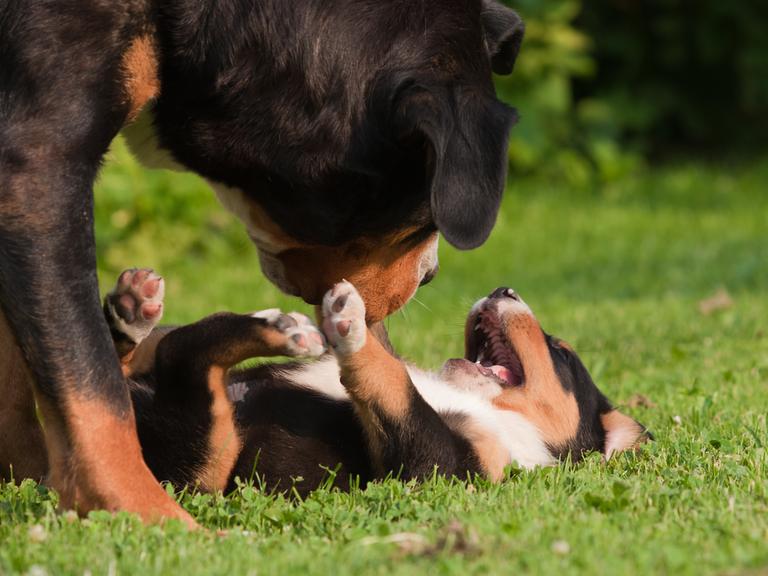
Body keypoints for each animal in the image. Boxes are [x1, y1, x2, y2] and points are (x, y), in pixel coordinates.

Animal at [0, 0, 520, 524]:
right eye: (420, 220)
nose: (431, 275)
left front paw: (29, 478)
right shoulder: (39, 168)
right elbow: (91, 388)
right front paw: (144, 514)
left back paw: (144, 316)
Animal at [105, 270, 652, 496]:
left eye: (561, 353)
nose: (504, 289)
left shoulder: (437, 469)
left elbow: (397, 386)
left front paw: (354, 330)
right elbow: (400, 372)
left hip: (207, 460)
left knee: (186, 361)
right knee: (156, 355)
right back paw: (133, 311)